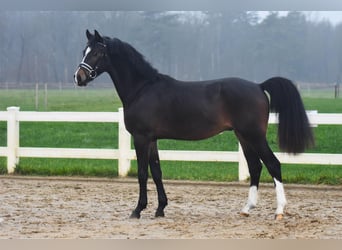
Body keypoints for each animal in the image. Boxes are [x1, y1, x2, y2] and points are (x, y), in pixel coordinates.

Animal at [73, 30, 314, 220]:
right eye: (84, 50)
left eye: (97, 53)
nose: (79, 77)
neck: (143, 89)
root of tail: (258, 86)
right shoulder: (152, 139)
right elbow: (157, 171)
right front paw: (160, 209)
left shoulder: (141, 137)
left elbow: (142, 173)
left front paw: (138, 210)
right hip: (243, 137)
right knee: (255, 167)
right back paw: (246, 208)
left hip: (254, 135)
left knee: (273, 164)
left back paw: (279, 211)